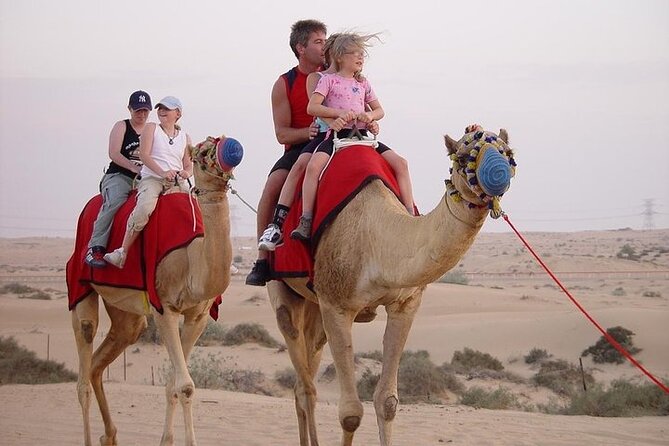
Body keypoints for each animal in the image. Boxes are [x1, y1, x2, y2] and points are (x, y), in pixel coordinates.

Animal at [70, 136, 237, 446]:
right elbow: (185, 386)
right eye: (201, 151)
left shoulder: (198, 316)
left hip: (127, 312)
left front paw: (166, 440)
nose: (230, 149)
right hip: (79, 283)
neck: (190, 257)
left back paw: (109, 436)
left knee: (102, 359)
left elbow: (174, 384)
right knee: (84, 369)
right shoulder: (164, 307)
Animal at [268, 128, 516, 446]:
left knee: (307, 374)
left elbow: (387, 402)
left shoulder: (405, 305)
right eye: (462, 158)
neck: (378, 241)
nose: (499, 174)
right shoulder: (336, 305)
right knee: (303, 378)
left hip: (314, 304)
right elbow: (350, 413)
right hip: (284, 288)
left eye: (508, 152)